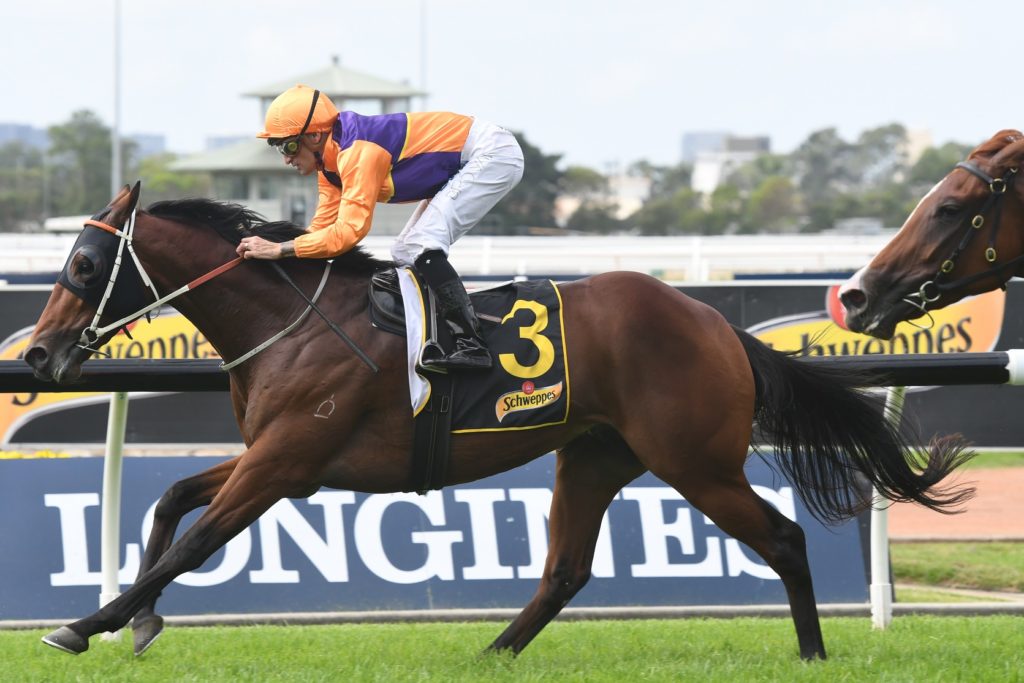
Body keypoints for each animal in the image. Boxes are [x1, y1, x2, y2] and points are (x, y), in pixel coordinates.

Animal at [25, 182, 972, 662]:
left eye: (83, 264)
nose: (36, 357)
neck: (288, 320)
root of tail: (714, 321)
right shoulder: (275, 455)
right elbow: (170, 500)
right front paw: (137, 620)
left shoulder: (287, 462)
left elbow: (192, 540)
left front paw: (88, 622)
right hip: (594, 456)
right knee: (566, 569)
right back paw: (490, 654)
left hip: (696, 460)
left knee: (781, 537)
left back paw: (812, 653)